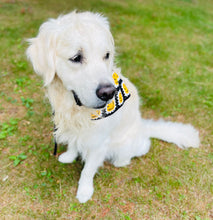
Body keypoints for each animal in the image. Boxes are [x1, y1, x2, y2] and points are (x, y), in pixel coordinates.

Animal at [27, 10, 200, 203]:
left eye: (106, 55)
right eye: (76, 58)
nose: (108, 92)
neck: (76, 108)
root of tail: (143, 125)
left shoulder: (99, 143)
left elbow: (87, 171)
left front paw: (84, 191)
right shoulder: (71, 128)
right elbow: (73, 144)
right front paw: (69, 156)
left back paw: (120, 162)